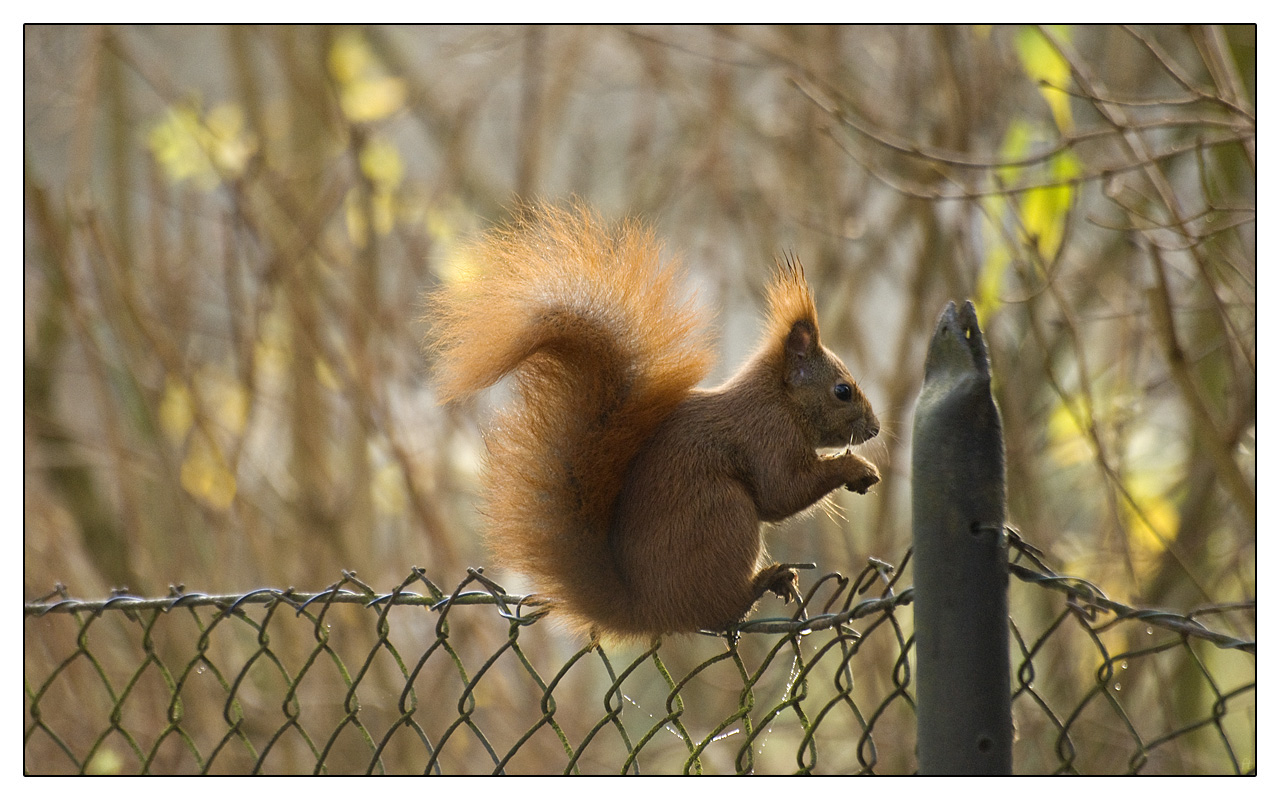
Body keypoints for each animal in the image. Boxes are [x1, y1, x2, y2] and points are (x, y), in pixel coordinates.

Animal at [430, 202, 880, 640]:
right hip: (724, 514)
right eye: (842, 391)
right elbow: (781, 492)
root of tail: (648, 610)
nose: (875, 429)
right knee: (719, 609)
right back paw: (763, 582)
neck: (780, 399)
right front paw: (855, 468)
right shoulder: (767, 434)